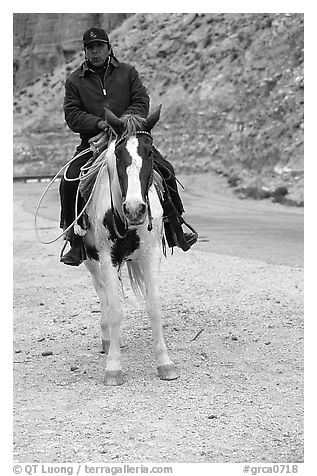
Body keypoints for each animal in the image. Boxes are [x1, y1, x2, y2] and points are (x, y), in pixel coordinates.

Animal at [78, 106, 179, 384]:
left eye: (149, 151)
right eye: (118, 154)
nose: (135, 209)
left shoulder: (150, 254)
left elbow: (154, 305)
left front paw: (165, 363)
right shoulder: (107, 257)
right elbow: (114, 308)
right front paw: (114, 367)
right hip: (92, 260)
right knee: (103, 293)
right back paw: (108, 340)